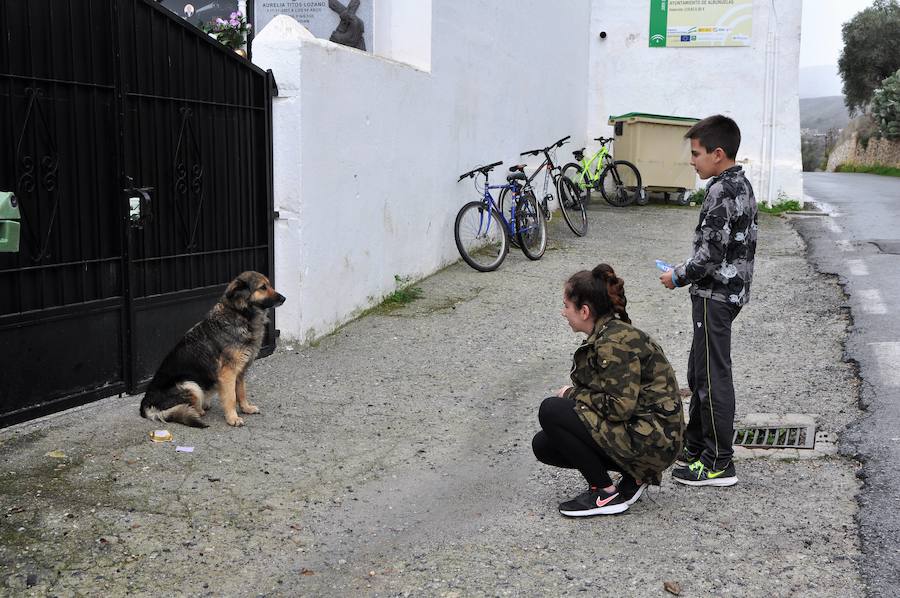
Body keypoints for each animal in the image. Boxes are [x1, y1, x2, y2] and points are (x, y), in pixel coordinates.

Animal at [139, 270, 286, 428]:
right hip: (191, 384)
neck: (239, 314)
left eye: (269, 285)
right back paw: (199, 410)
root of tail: (145, 404)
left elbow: (241, 392)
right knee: (187, 406)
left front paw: (246, 408)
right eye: (263, 287)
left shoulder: (240, 372)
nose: (284, 298)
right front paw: (232, 418)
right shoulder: (228, 373)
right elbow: (231, 397)